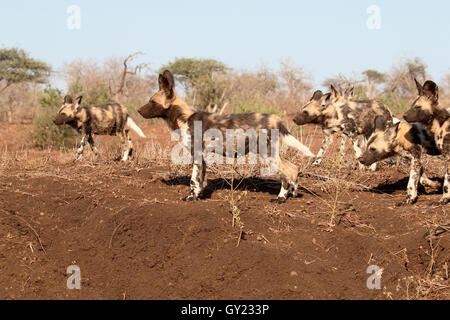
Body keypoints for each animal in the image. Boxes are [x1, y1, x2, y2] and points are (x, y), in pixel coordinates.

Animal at [139, 71, 314, 204]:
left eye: (152, 102)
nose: (139, 111)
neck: (184, 117)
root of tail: (275, 118)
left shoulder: (196, 155)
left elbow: (193, 180)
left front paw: (190, 197)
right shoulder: (202, 158)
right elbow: (200, 180)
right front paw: (199, 196)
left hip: (267, 154)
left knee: (285, 174)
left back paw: (280, 198)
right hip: (272, 153)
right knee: (293, 168)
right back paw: (292, 194)